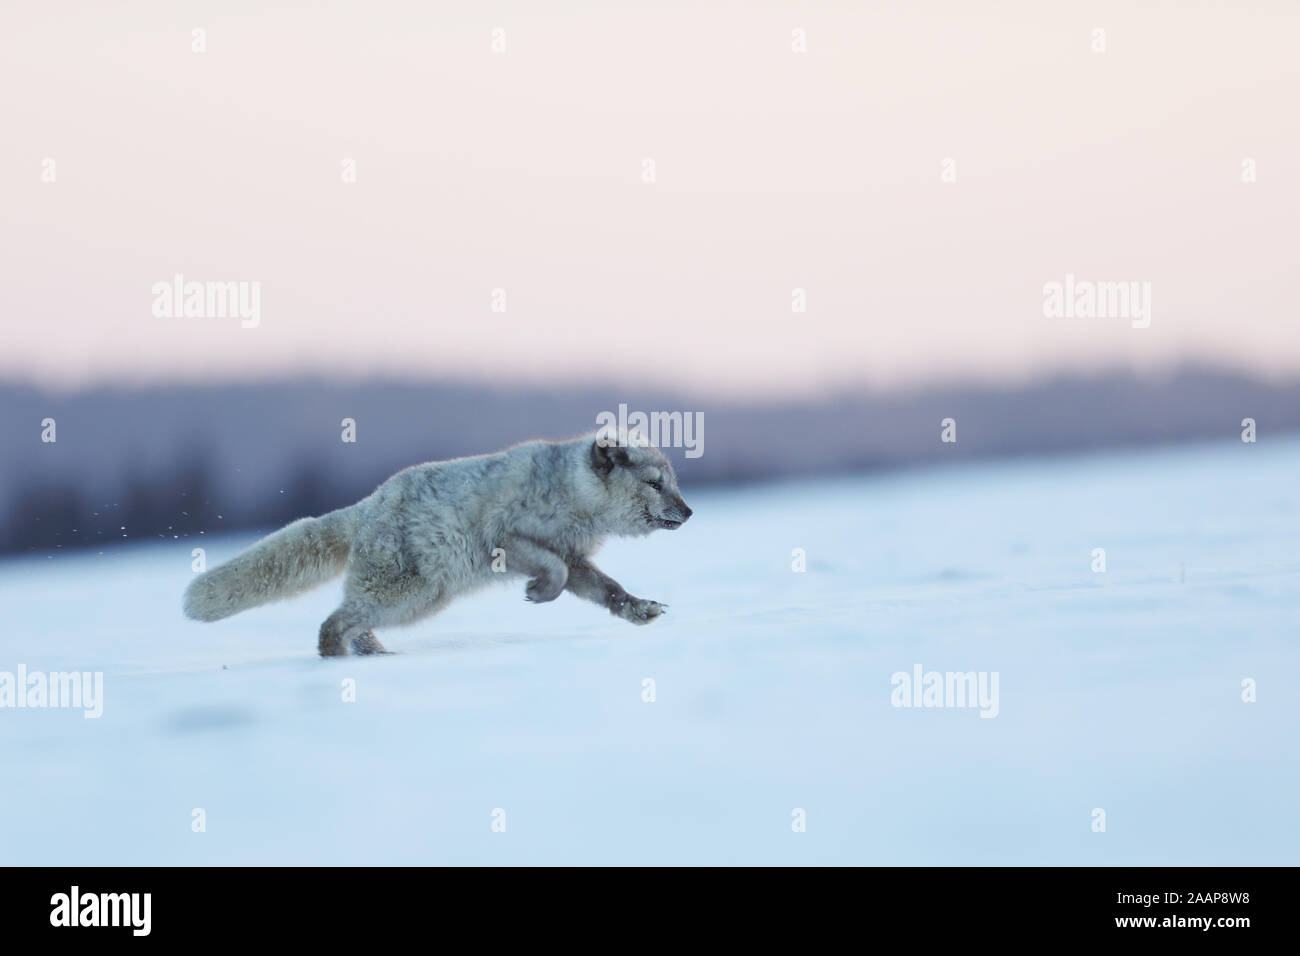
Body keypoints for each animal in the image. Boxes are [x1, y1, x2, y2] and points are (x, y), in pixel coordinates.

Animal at [185, 434, 691, 655]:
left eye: (673, 483)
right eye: (654, 483)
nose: (688, 512)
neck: (572, 494)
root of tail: (366, 505)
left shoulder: (575, 556)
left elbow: (607, 589)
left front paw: (639, 608)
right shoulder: (505, 537)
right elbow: (555, 570)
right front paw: (537, 591)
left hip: (419, 599)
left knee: (351, 621)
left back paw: (371, 657)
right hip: (409, 592)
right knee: (334, 622)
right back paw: (335, 665)